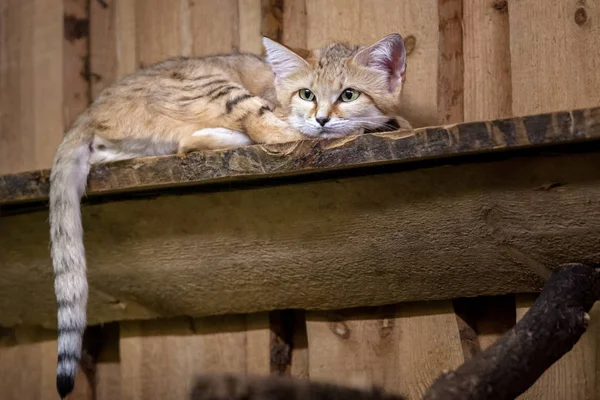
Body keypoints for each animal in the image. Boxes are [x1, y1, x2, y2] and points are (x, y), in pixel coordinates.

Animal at [51, 33, 410, 396]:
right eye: (306, 94)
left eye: (349, 94)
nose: (321, 119)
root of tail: (88, 112)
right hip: (213, 88)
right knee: (256, 130)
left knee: (180, 144)